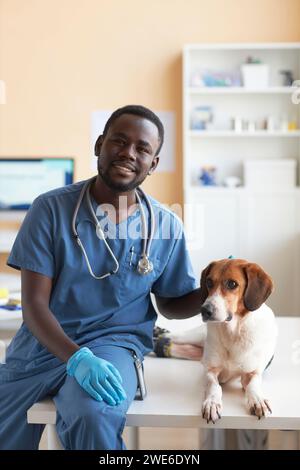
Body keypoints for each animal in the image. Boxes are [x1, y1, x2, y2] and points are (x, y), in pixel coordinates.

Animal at [168, 258, 278, 424]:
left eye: (232, 284)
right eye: (208, 282)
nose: (204, 310)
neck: (232, 332)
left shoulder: (252, 372)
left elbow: (253, 386)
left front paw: (258, 400)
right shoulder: (210, 370)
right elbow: (214, 386)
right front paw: (212, 403)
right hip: (193, 337)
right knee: (173, 337)